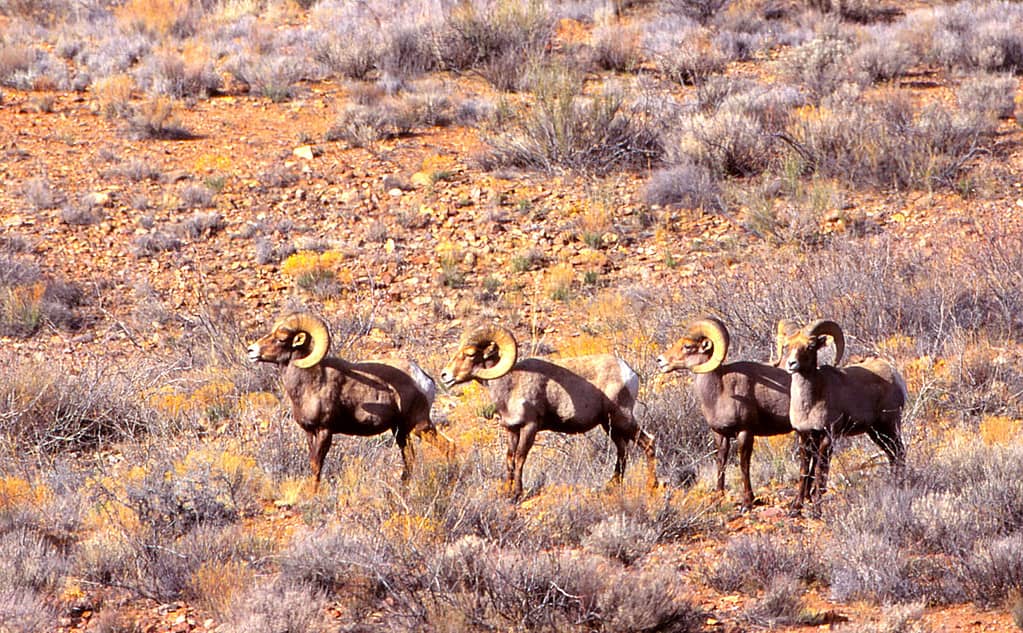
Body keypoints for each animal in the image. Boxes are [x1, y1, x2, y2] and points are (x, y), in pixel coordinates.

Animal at [247, 312, 452, 490]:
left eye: (281, 339)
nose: (251, 351)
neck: (309, 383)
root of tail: (424, 379)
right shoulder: (309, 432)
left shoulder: (325, 431)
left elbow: (317, 465)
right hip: (400, 431)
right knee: (409, 459)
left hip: (419, 425)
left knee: (449, 447)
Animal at [439, 325, 656, 499]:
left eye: (470, 353)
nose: (445, 375)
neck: (510, 384)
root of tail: (630, 373)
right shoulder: (512, 430)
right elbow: (510, 459)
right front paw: (507, 493)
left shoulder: (530, 427)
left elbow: (520, 458)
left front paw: (517, 494)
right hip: (610, 425)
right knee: (623, 451)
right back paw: (611, 486)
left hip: (622, 419)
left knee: (648, 443)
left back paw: (651, 486)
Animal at [656, 317, 793, 511]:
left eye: (688, 346)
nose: (660, 360)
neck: (720, 390)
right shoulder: (720, 434)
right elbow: (721, 464)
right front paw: (718, 498)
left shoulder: (745, 432)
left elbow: (744, 466)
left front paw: (747, 503)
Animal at [779, 319, 907, 515]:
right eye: (786, 346)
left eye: (810, 346)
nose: (791, 364)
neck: (809, 405)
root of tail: (894, 375)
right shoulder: (805, 437)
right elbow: (805, 471)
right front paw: (796, 508)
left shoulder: (827, 437)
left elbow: (820, 471)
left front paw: (817, 510)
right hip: (876, 432)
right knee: (892, 454)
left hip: (889, 426)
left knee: (899, 452)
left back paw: (898, 486)